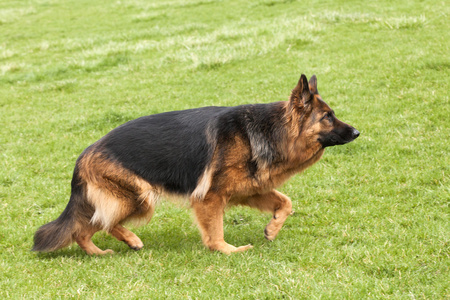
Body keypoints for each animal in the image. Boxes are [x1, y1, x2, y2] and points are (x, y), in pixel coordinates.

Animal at [32, 74, 358, 254]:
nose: (357, 132)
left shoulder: (249, 190)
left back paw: (99, 253)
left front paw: (272, 229)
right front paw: (228, 251)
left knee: (83, 229)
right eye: (327, 117)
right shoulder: (210, 197)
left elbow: (286, 202)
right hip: (139, 197)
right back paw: (132, 240)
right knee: (104, 222)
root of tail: (84, 154)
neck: (270, 130)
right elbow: (215, 233)